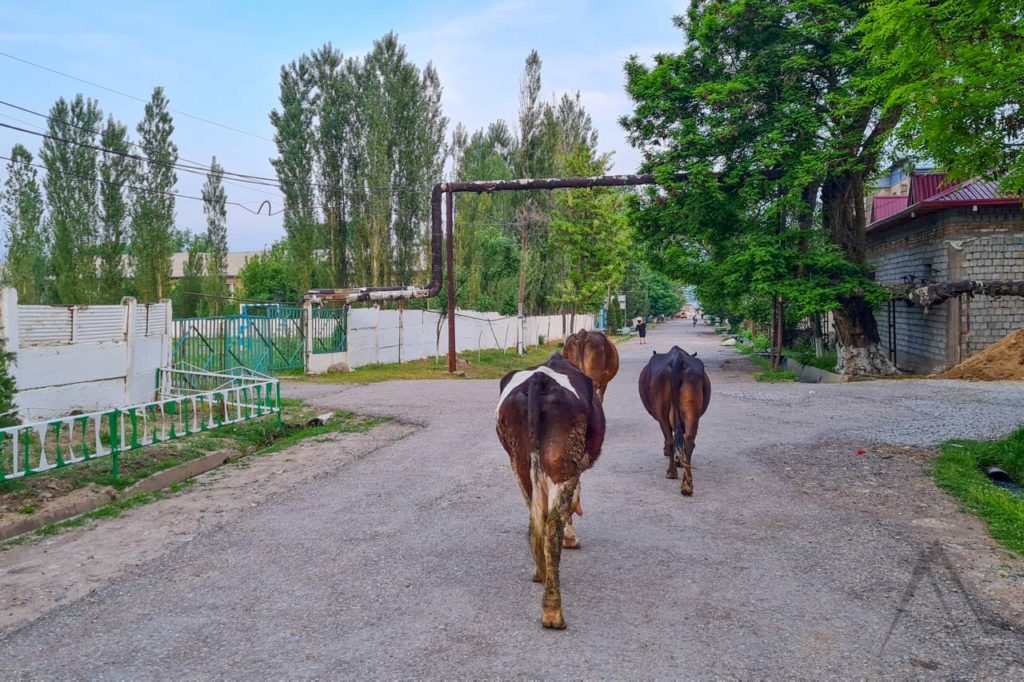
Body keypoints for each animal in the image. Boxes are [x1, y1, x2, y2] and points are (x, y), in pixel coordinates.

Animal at [495, 352, 606, 629]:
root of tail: (539, 380)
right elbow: (572, 502)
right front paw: (571, 538)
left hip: (520, 463)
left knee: (536, 522)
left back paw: (541, 573)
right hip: (562, 465)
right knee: (552, 525)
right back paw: (553, 612)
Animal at [638, 346, 711, 496]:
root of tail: (678, 358)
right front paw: (680, 460)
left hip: (662, 412)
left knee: (671, 439)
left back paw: (672, 472)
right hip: (692, 411)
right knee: (688, 440)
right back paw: (687, 485)